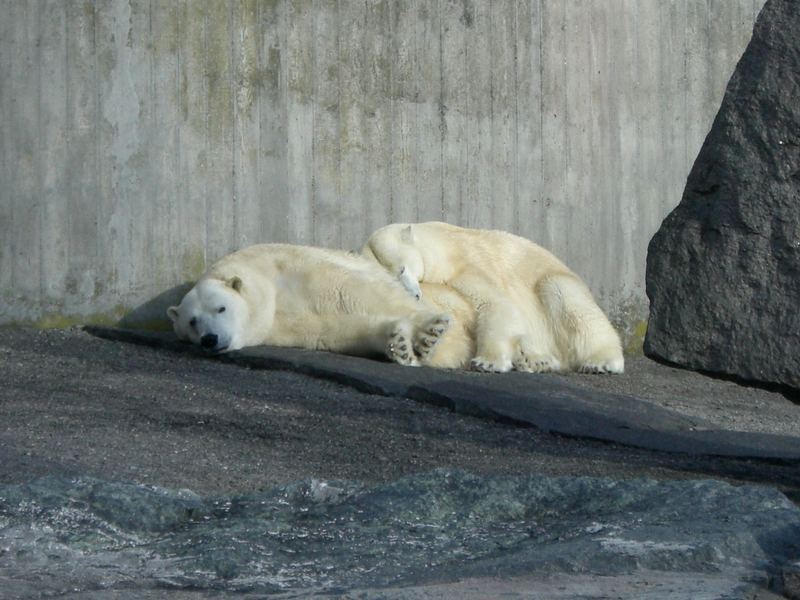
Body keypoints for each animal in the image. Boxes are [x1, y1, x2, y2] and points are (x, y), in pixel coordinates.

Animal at [163, 245, 476, 368]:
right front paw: (397, 343)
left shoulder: (293, 270)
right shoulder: (280, 327)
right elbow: (333, 330)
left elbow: (354, 292)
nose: (209, 339)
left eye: (221, 308)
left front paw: (428, 335)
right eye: (192, 321)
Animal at [362, 223, 624, 372]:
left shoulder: (467, 266)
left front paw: (486, 362)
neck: (441, 243)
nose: (415, 294)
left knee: (568, 301)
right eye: (391, 278)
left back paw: (601, 362)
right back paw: (533, 361)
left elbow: (494, 303)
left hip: (555, 285)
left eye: (402, 269)